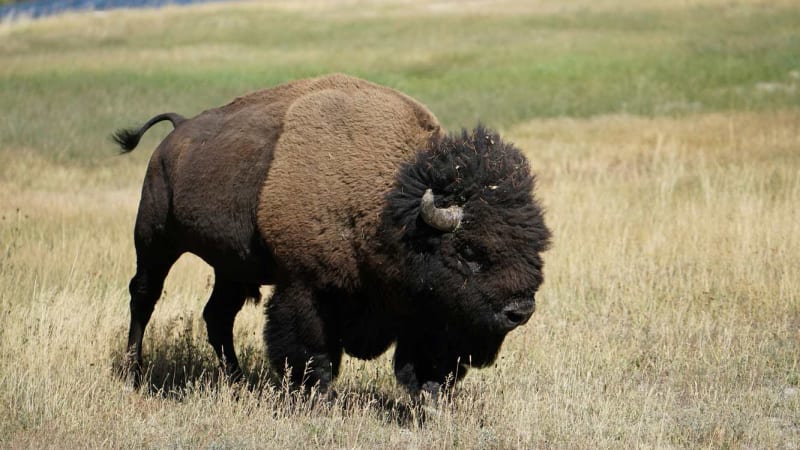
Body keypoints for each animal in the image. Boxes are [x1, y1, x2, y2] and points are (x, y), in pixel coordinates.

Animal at [114, 74, 550, 394]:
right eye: (467, 251)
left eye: (536, 248)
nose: (519, 311)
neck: (388, 208)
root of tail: (177, 132)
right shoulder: (305, 286)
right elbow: (310, 349)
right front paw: (317, 394)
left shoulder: (424, 309)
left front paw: (429, 396)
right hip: (154, 239)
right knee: (144, 296)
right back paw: (134, 374)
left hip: (232, 268)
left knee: (217, 316)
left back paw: (237, 381)